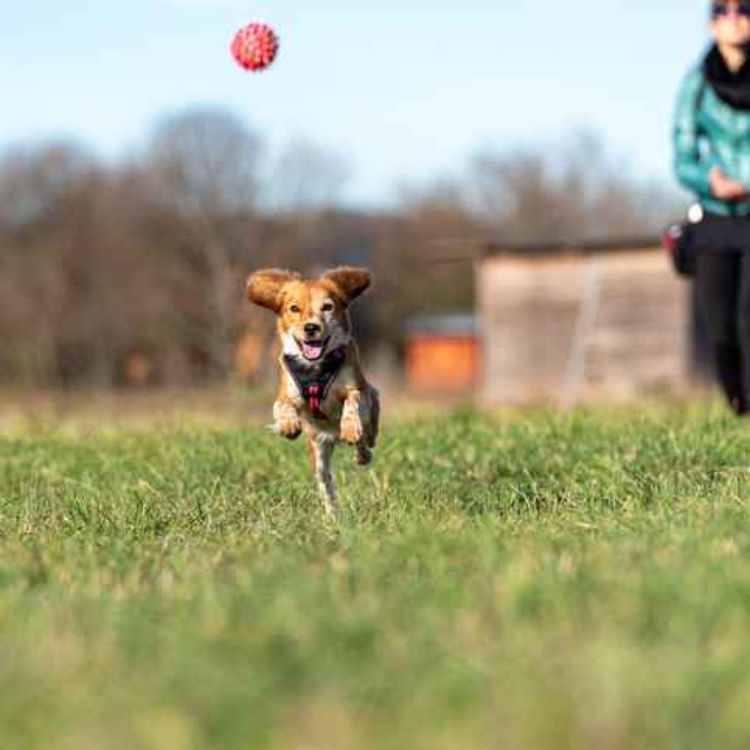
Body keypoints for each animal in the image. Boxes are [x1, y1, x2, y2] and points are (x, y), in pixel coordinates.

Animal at [248, 268, 382, 520]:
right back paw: (332, 518)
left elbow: (353, 401)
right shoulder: (287, 390)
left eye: (327, 307)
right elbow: (281, 405)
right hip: (318, 452)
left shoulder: (359, 388)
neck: (316, 368)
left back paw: (361, 452)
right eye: (294, 308)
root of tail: (332, 436)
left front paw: (350, 427)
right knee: (326, 483)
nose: (311, 327)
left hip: (371, 423)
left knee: (366, 440)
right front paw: (288, 424)